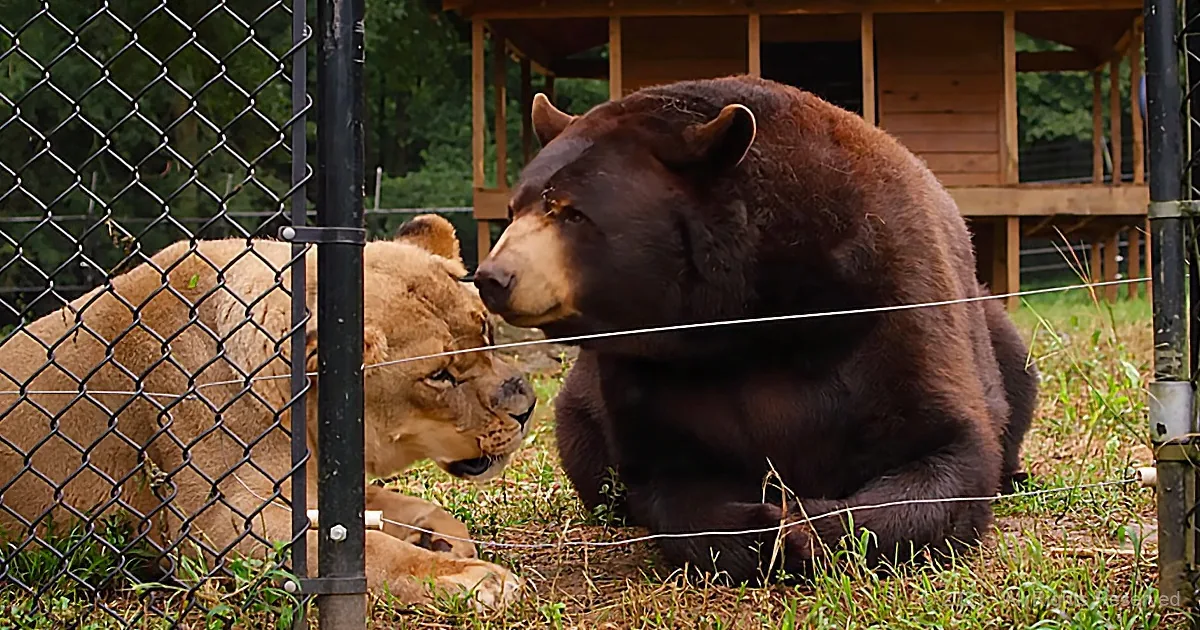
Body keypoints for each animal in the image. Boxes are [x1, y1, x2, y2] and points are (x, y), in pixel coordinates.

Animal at [0, 214, 532, 610]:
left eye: (486, 330)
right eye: (439, 376)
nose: (526, 408)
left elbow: (406, 509)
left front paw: (442, 537)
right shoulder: (212, 526)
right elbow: (371, 550)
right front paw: (471, 578)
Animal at [473, 75, 1038, 585]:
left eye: (572, 213)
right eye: (515, 208)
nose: (492, 278)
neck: (742, 317)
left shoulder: (889, 296)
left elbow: (949, 449)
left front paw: (807, 529)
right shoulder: (648, 368)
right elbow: (669, 475)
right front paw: (757, 528)